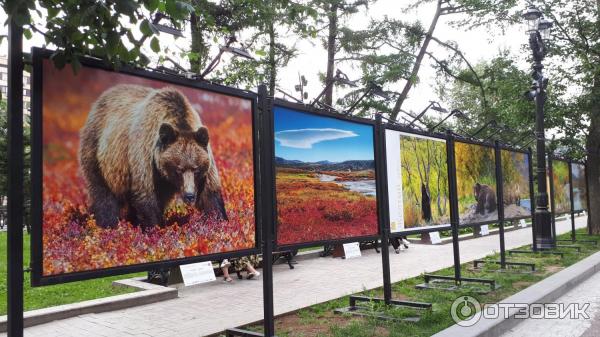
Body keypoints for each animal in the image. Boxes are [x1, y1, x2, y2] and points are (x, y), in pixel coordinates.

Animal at [79, 83, 227, 228]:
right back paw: (108, 223)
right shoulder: (145, 154)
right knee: (103, 191)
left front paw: (218, 220)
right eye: (178, 169)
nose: (189, 195)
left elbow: (209, 194)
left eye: (196, 169)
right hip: (98, 151)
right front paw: (155, 226)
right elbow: (146, 195)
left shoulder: (206, 163)